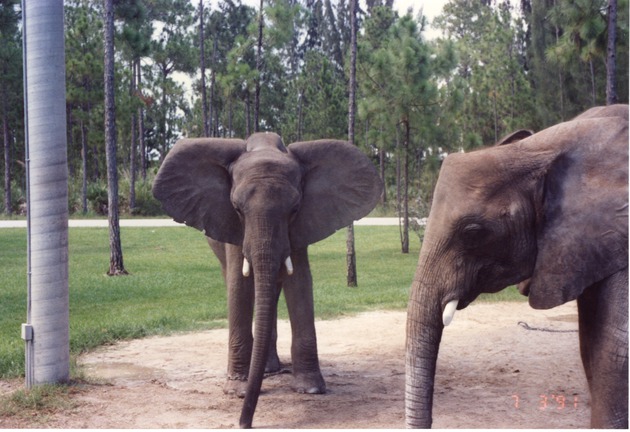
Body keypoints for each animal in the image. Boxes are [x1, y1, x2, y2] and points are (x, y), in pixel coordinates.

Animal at [152, 132, 386, 428]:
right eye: (237, 208)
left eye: (295, 209)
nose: (244, 423)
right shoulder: (229, 224)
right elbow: (239, 286)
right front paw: (238, 391)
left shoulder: (302, 224)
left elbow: (300, 280)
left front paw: (310, 389)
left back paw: (268, 368)